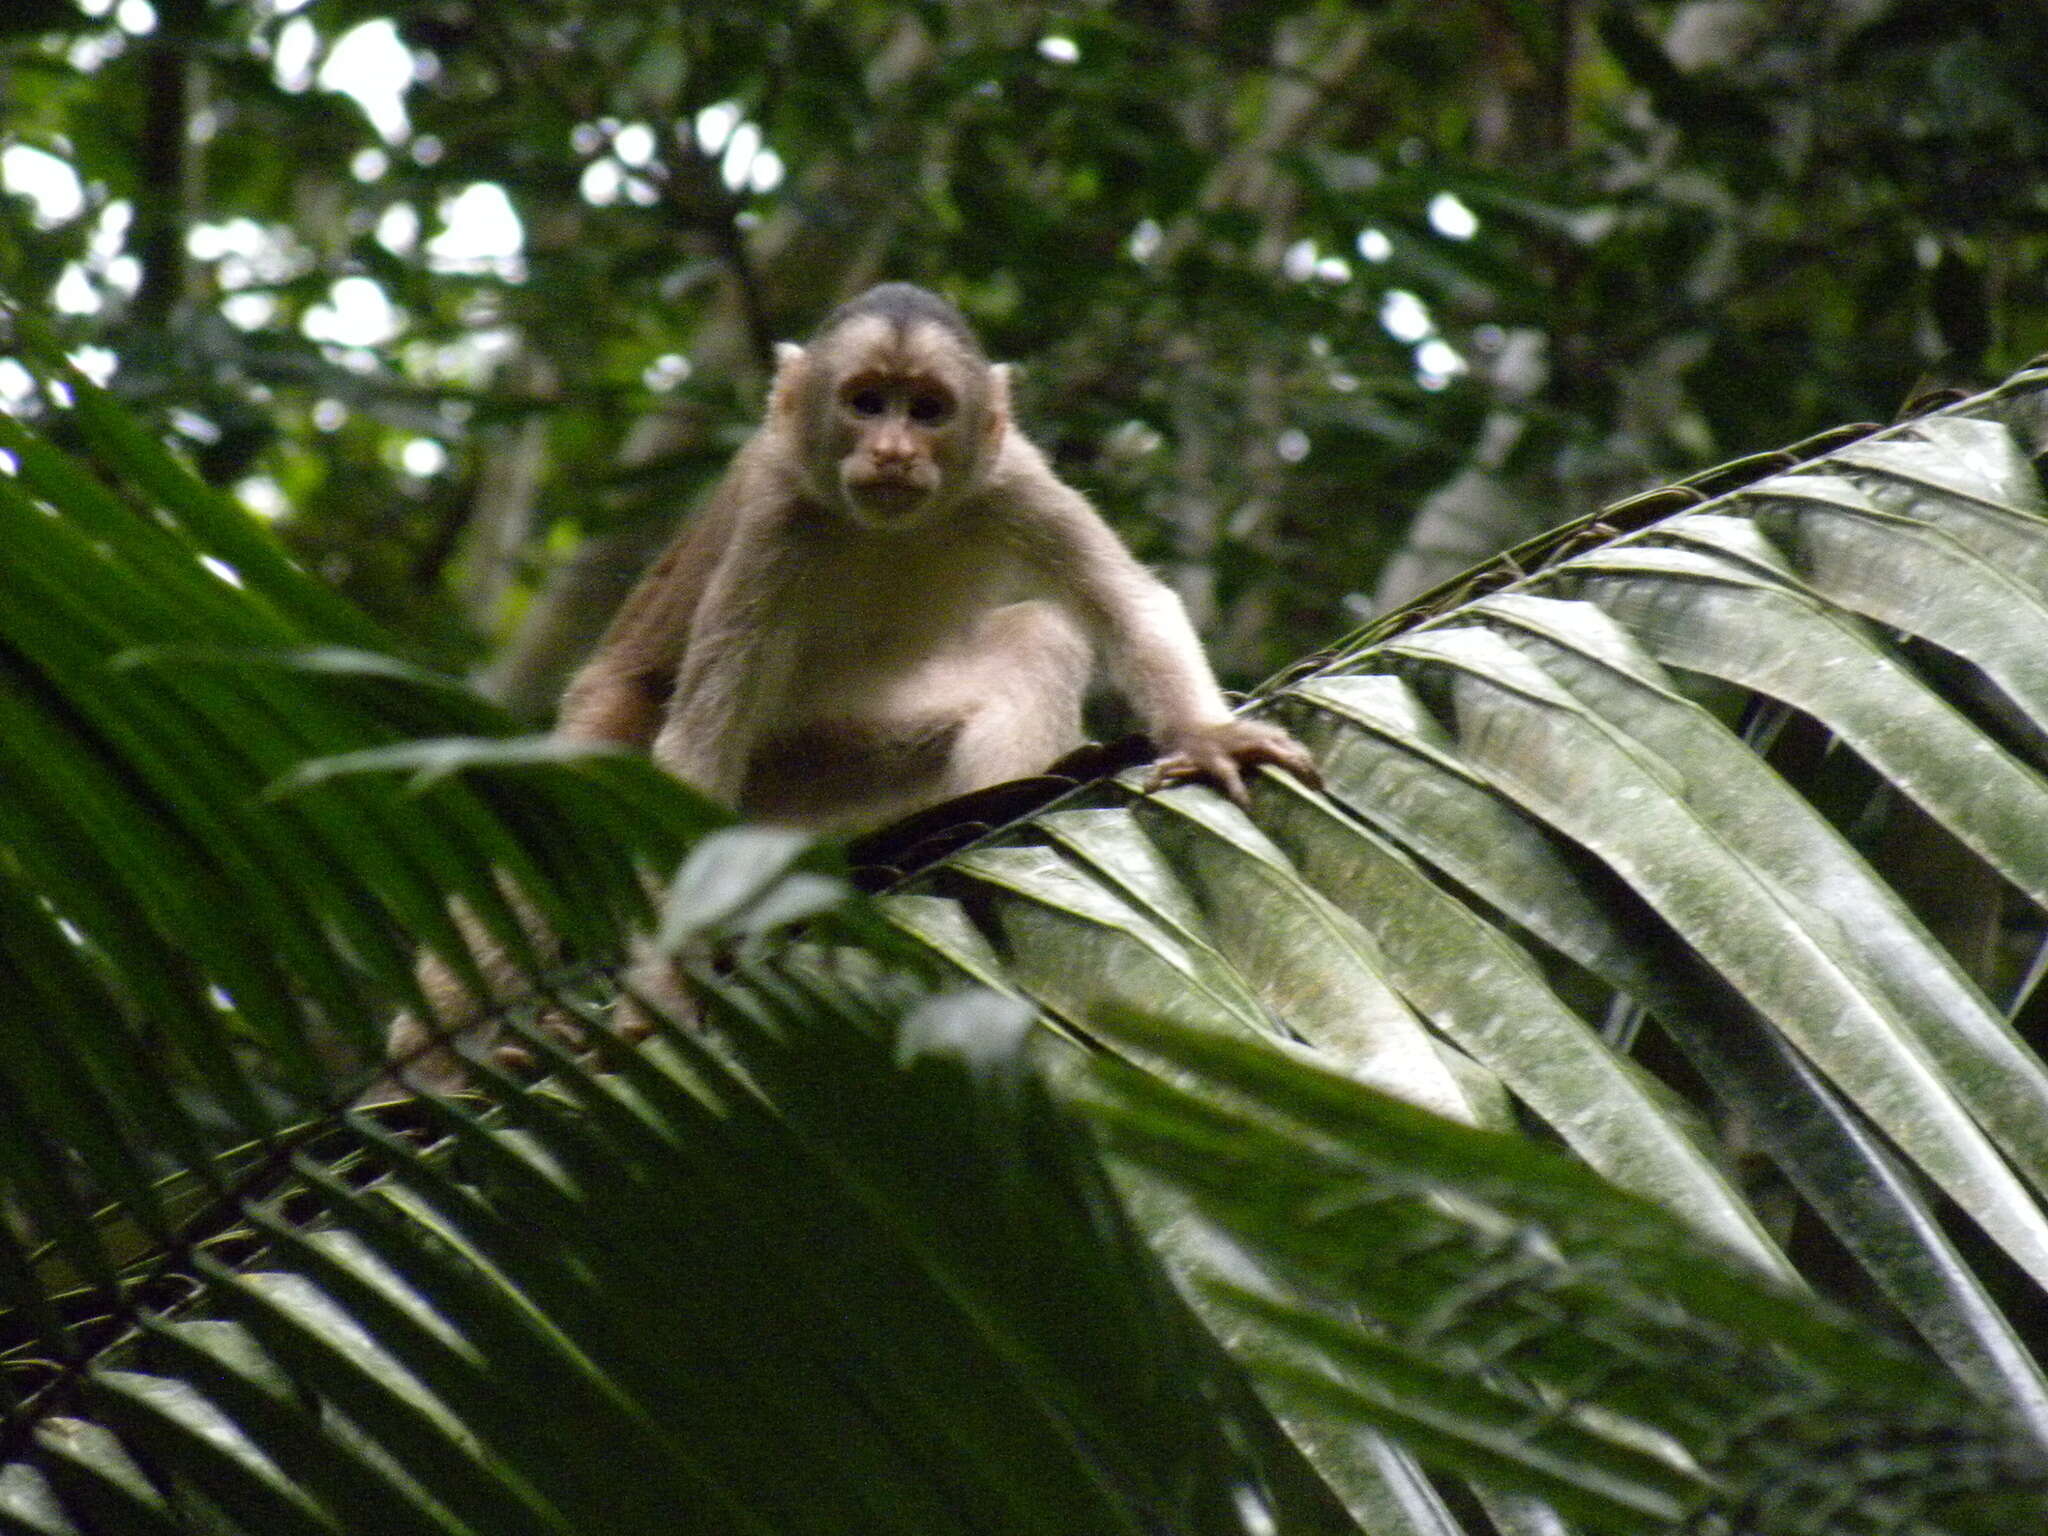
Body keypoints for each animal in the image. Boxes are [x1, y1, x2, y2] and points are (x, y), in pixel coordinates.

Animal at [382, 282, 1310, 1089]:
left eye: (926, 410)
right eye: (866, 402)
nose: (893, 452)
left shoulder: (1012, 474)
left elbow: (1128, 603)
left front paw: (1207, 736)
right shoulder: (775, 516)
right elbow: (701, 738)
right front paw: (670, 986)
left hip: (814, 772)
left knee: (1036, 635)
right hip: (619, 712)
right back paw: (429, 1068)